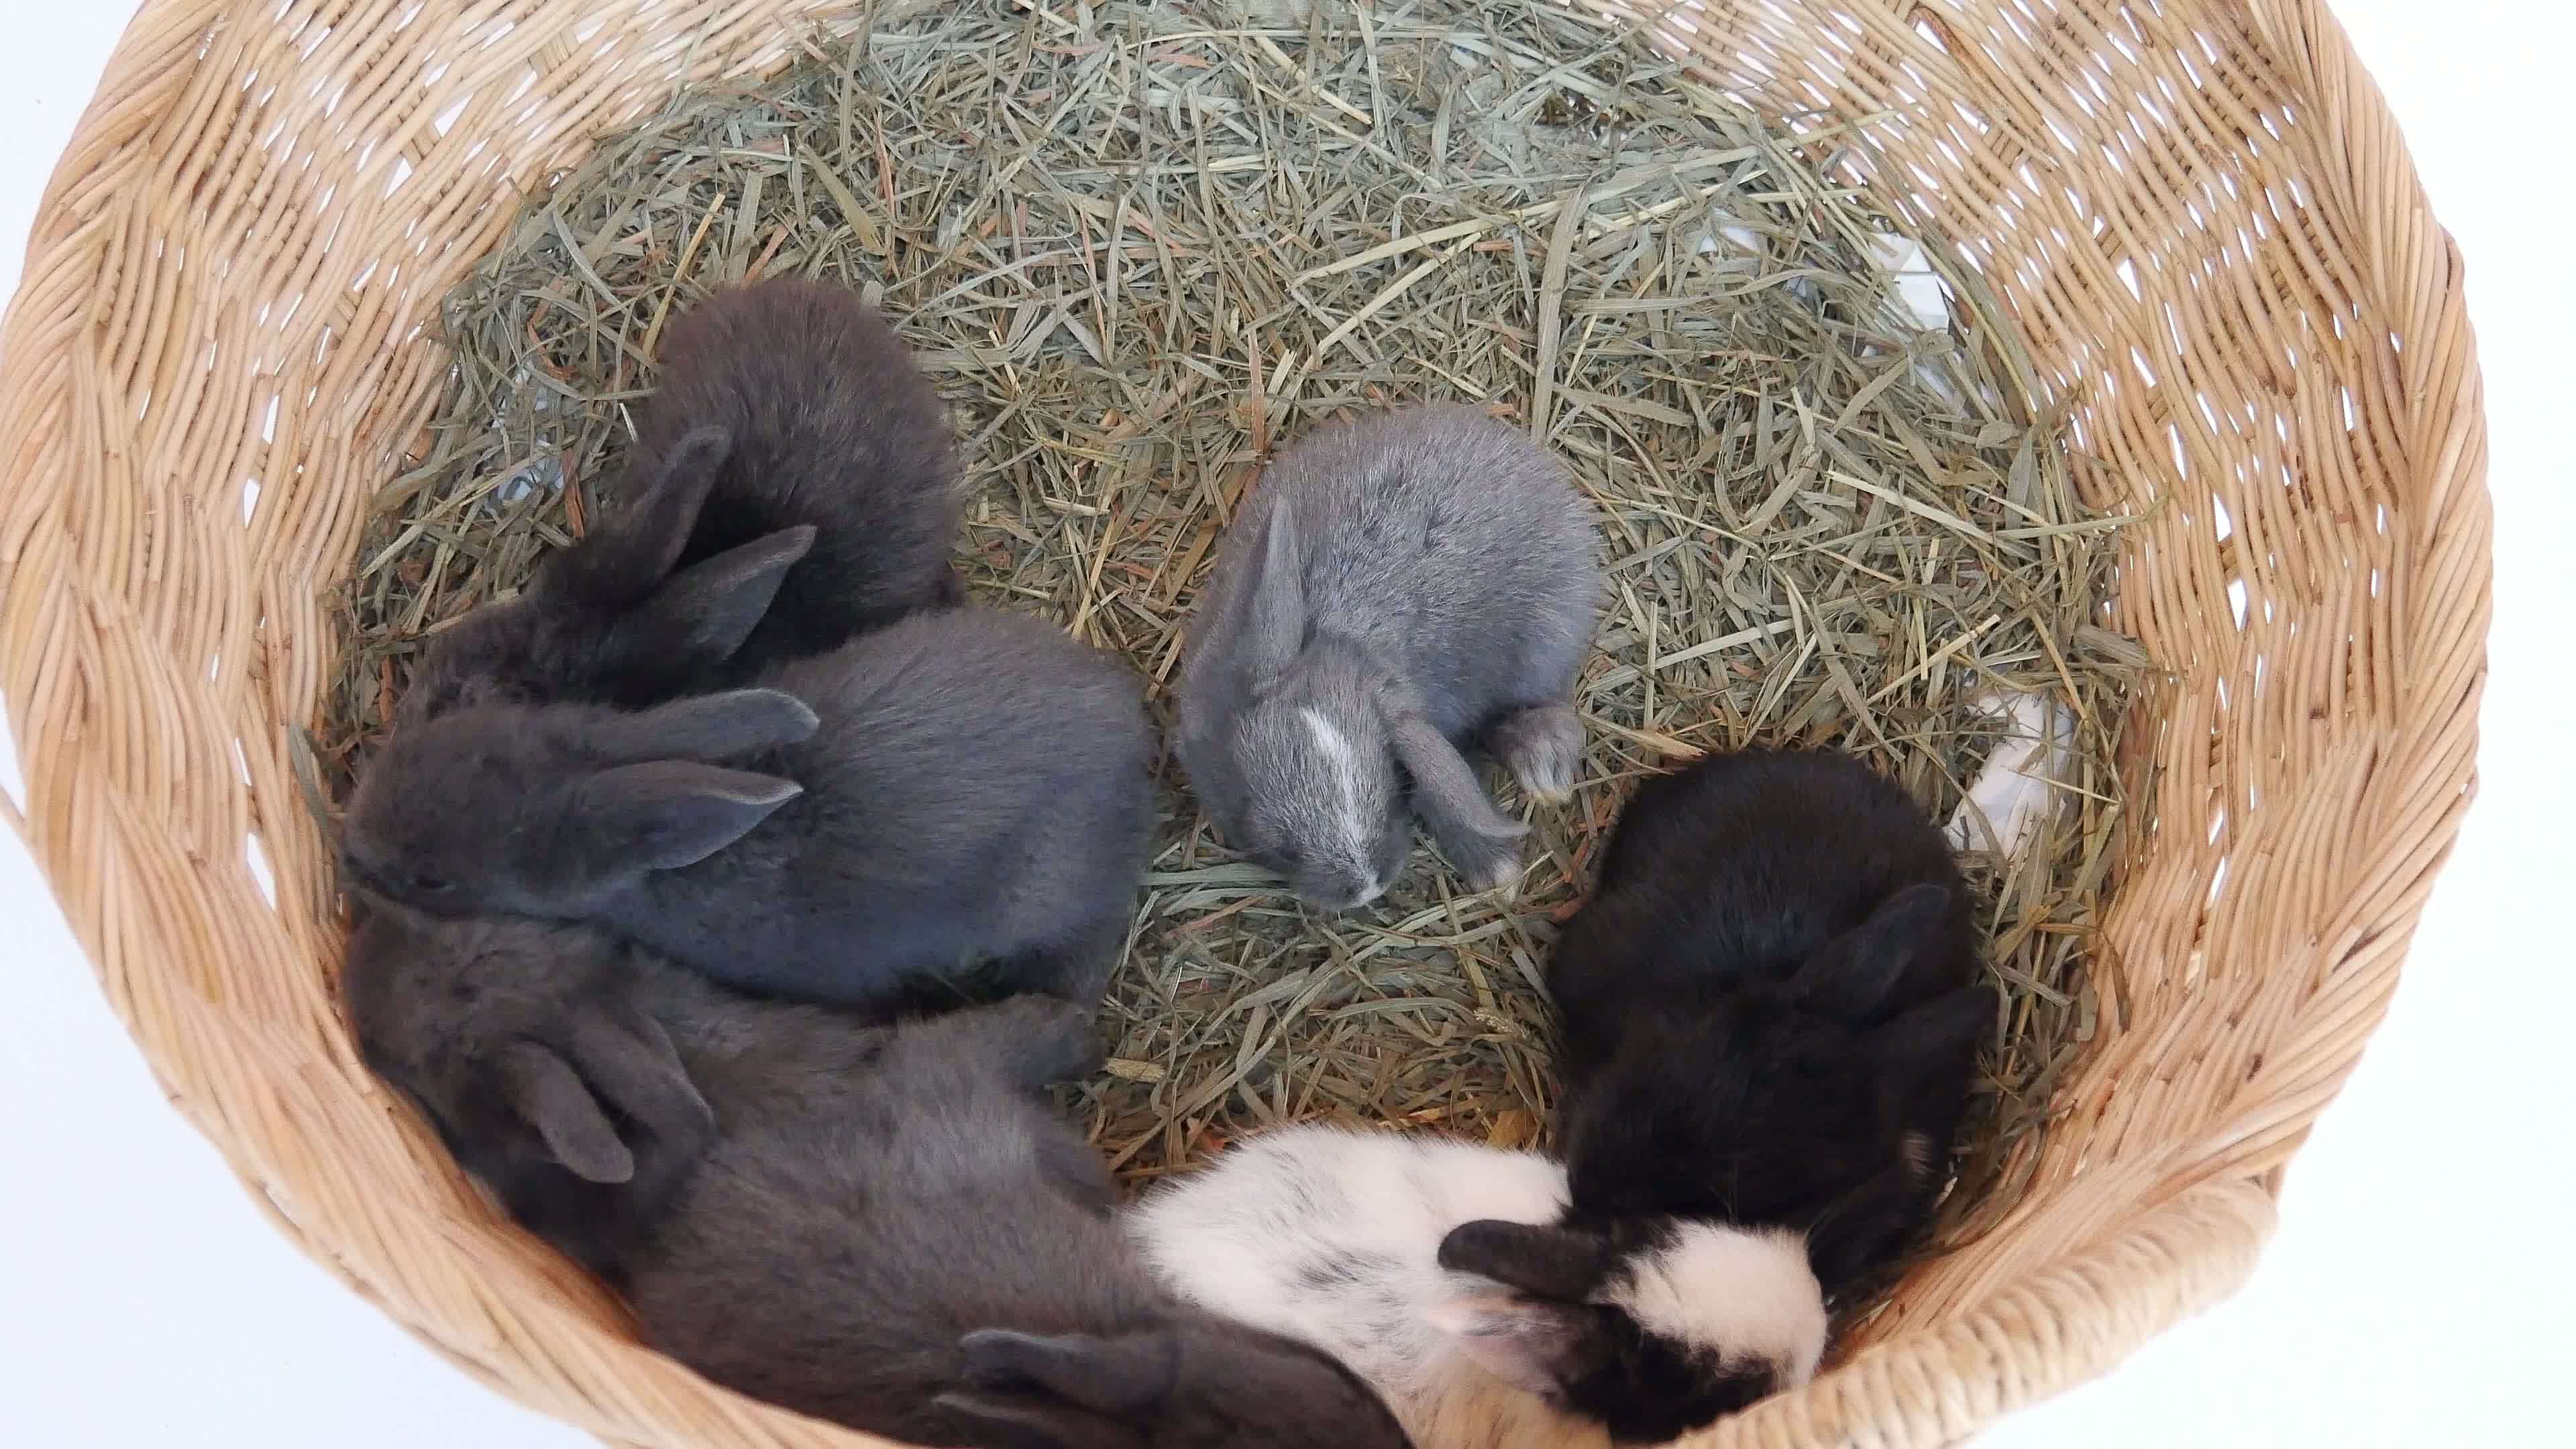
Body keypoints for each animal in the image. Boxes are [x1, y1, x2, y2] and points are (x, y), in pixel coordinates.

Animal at [1175, 404, 1600, 910]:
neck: (1339, 642)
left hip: (1546, 642)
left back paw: (1544, 769)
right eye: (1278, 844)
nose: (1366, 888)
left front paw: (1498, 874)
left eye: (1395, 780)